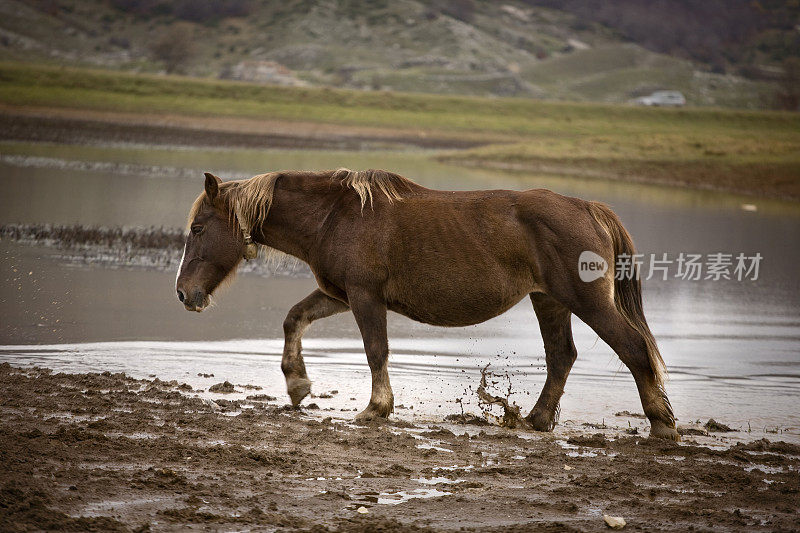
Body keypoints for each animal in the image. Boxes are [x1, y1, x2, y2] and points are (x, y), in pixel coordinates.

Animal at [173, 168, 676, 438]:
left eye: (198, 229)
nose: (183, 293)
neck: (334, 217)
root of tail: (588, 207)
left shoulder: (365, 297)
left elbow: (376, 351)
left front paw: (375, 408)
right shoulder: (341, 295)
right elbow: (294, 318)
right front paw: (298, 384)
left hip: (586, 302)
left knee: (632, 349)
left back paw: (662, 425)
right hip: (549, 301)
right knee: (562, 357)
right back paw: (536, 420)